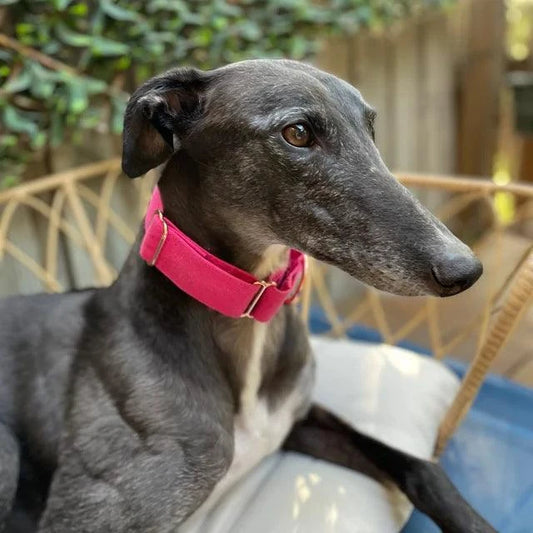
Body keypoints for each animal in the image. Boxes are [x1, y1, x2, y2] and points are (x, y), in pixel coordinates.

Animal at [0, 59, 492, 532]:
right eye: (297, 133)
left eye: (370, 127)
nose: (464, 268)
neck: (248, 318)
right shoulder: (87, 512)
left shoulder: (293, 420)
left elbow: (417, 465)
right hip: (6, 450)